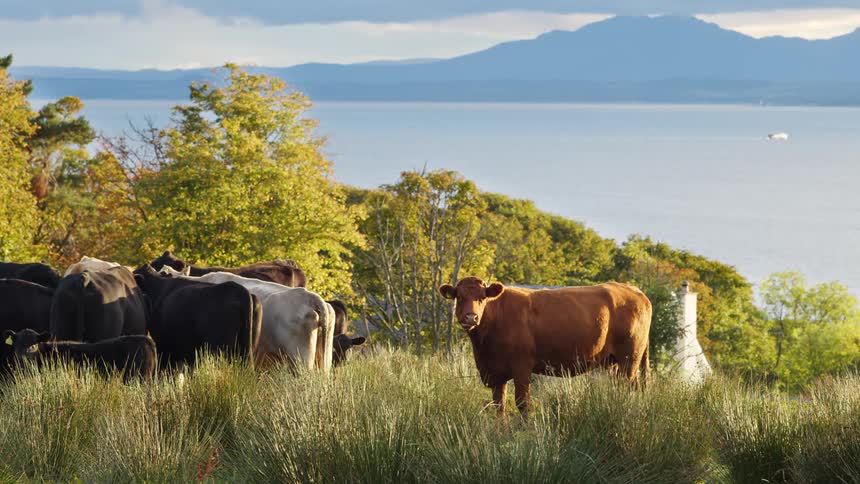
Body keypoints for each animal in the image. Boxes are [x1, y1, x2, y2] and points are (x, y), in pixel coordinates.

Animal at [439, 277, 652, 417]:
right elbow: (499, 404)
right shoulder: (495, 372)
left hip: (629, 359)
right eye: (460, 297)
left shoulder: (522, 367)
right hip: (614, 361)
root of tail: (636, 291)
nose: (471, 317)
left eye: (482, 297)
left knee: (629, 387)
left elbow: (522, 402)